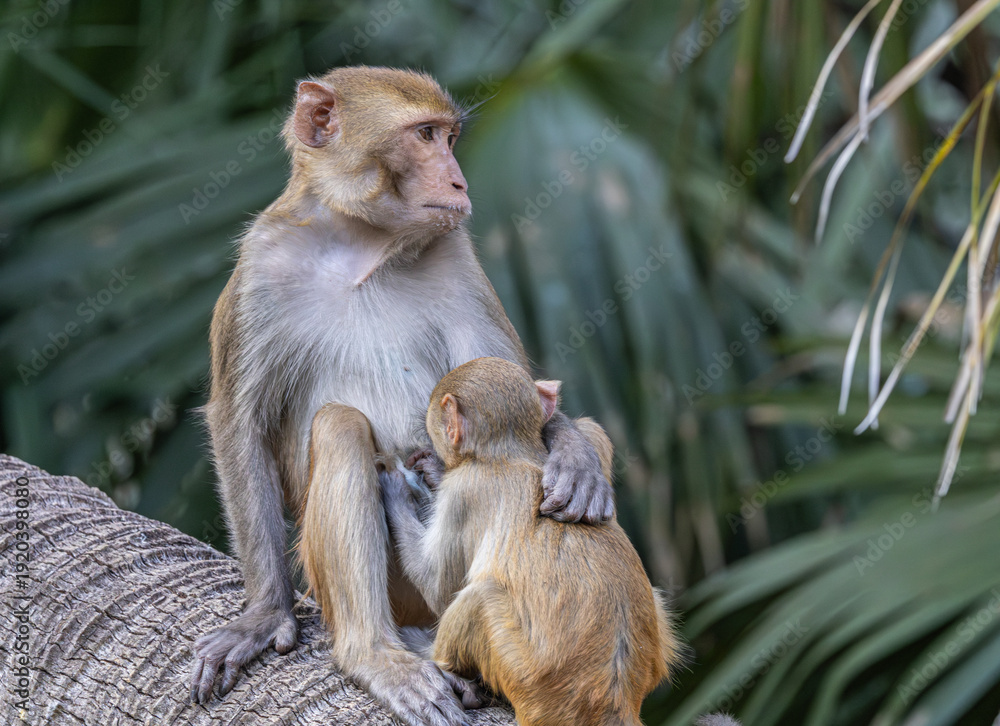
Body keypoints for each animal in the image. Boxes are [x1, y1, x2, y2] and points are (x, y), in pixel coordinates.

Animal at [189, 66, 615, 726]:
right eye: (424, 136)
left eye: (449, 137)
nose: (458, 180)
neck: (361, 244)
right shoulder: (260, 268)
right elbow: (240, 426)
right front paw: (263, 615)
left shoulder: (455, 252)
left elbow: (513, 388)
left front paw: (573, 457)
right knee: (340, 427)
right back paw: (377, 654)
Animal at [379, 357, 682, 726]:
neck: (513, 453)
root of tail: (617, 699)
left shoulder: (466, 489)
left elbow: (438, 588)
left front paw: (396, 491)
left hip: (523, 674)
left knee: (479, 597)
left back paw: (437, 658)